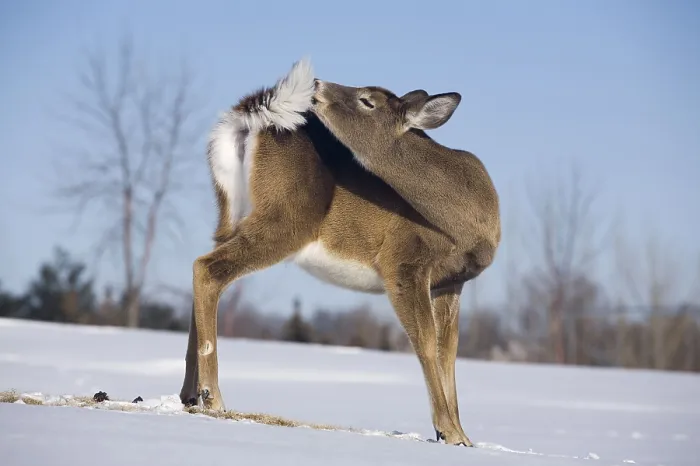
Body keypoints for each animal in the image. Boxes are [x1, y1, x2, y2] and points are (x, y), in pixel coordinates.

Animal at [179, 58, 501, 447]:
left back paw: (189, 395)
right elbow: (424, 343)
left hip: (230, 214)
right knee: (208, 269)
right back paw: (213, 396)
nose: (318, 84)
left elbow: (448, 352)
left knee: (203, 270)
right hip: (288, 217)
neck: (466, 215)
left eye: (368, 100)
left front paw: (463, 436)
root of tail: (249, 113)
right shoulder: (403, 261)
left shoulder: (452, 281)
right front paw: (448, 431)